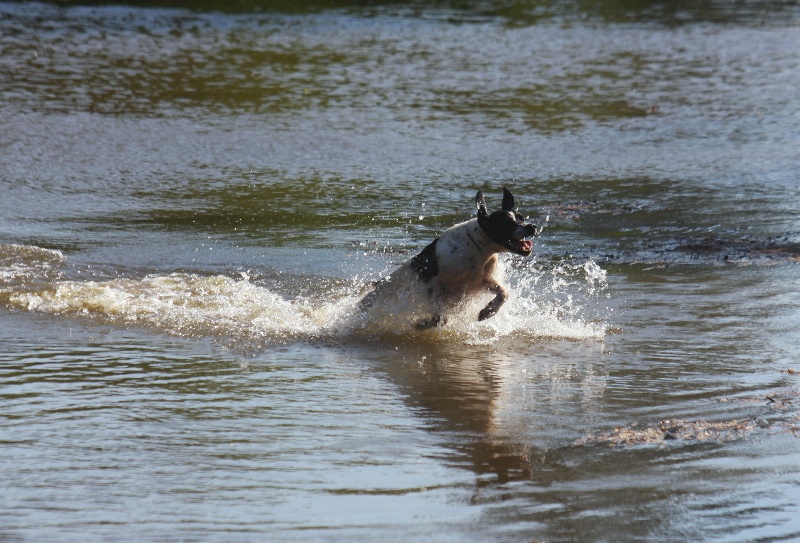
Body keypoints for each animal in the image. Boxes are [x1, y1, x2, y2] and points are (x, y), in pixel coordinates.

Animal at [360, 189, 536, 330]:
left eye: (521, 218)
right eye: (505, 222)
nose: (531, 226)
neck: (478, 249)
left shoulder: (483, 282)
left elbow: (504, 293)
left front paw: (489, 311)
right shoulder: (432, 285)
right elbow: (441, 316)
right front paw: (423, 324)